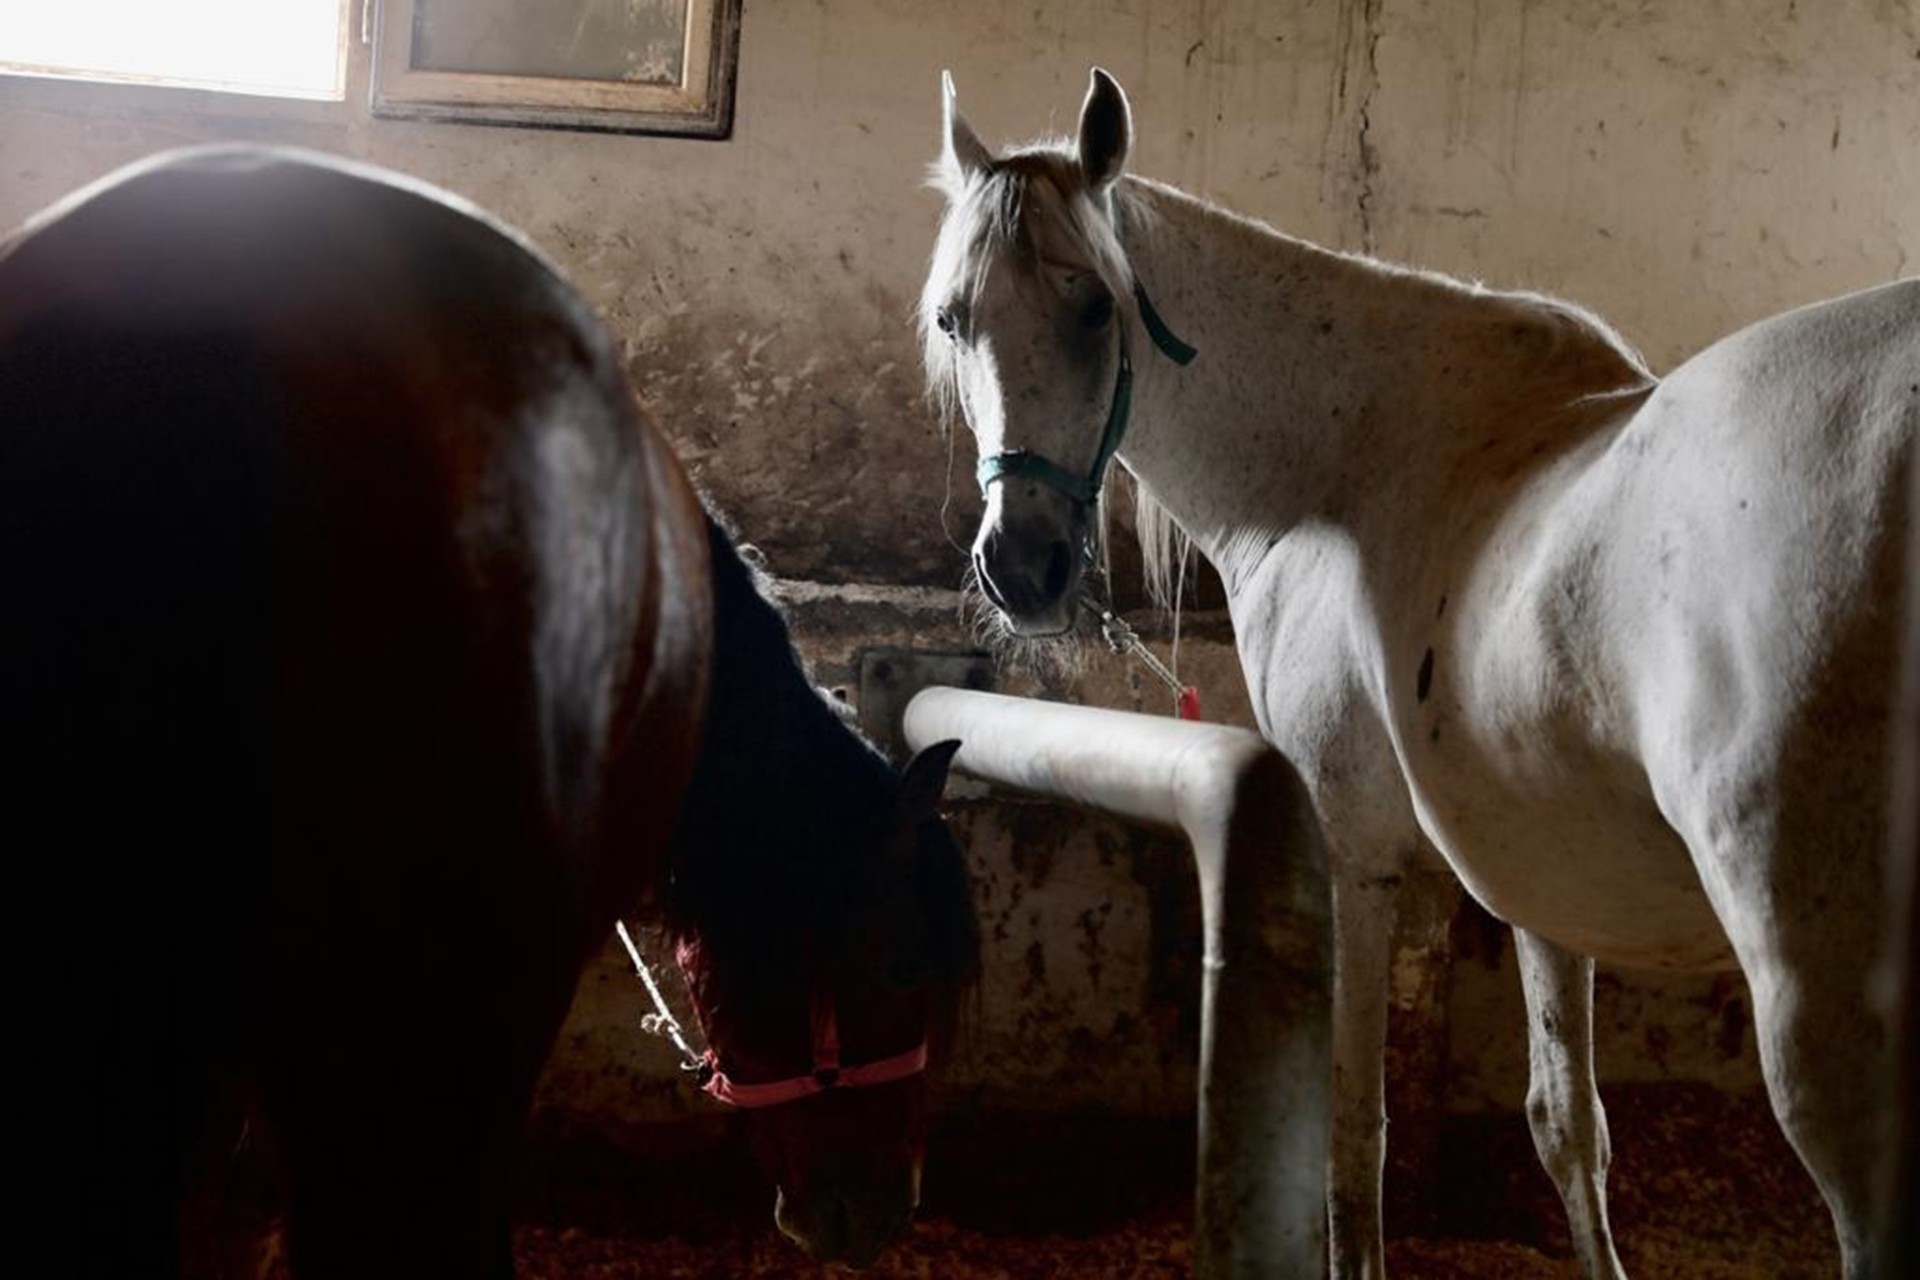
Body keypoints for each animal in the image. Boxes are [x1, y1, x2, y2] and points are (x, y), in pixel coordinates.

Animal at [921, 67, 1912, 1280]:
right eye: (953, 319)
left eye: (1095, 306)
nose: (1023, 566)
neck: (1337, 471)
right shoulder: (1539, 872)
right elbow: (1567, 1124)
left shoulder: (1353, 851)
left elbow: (1353, 1135)